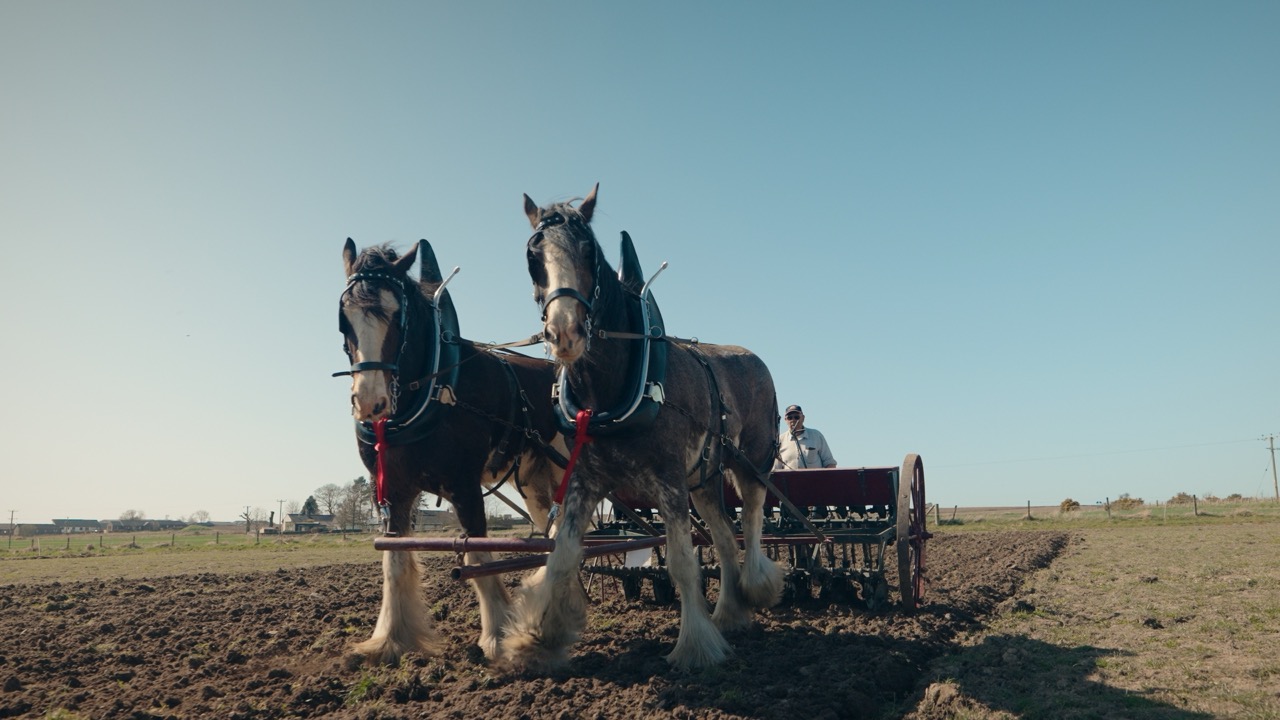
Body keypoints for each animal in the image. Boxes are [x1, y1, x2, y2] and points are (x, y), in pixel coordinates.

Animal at [337, 238, 567, 664]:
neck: (432, 391)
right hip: (533, 483)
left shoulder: (465, 485)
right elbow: (394, 561)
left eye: (398, 317)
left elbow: (476, 554)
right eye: (344, 319)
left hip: (566, 469)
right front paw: (389, 639)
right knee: (553, 533)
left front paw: (498, 637)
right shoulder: (392, 491)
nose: (370, 402)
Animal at [504, 184, 784, 671]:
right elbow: (562, 556)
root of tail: (754, 358)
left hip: (750, 463)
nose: (566, 332)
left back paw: (755, 587)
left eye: (588, 250)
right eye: (532, 256)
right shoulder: (584, 481)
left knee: (750, 520)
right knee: (724, 537)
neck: (611, 393)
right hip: (703, 480)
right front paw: (537, 638)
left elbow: (682, 562)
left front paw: (694, 645)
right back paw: (730, 612)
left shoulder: (669, 482)